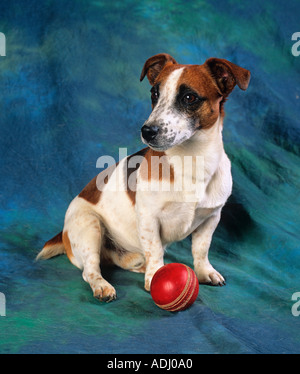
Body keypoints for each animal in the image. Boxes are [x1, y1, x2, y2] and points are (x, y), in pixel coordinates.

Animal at [36, 54, 250, 302]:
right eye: (154, 94)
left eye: (189, 97)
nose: (147, 131)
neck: (192, 160)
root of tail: (63, 233)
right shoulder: (149, 219)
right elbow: (155, 248)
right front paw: (156, 276)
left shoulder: (211, 218)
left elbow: (201, 248)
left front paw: (204, 271)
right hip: (89, 227)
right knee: (91, 269)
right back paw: (103, 285)